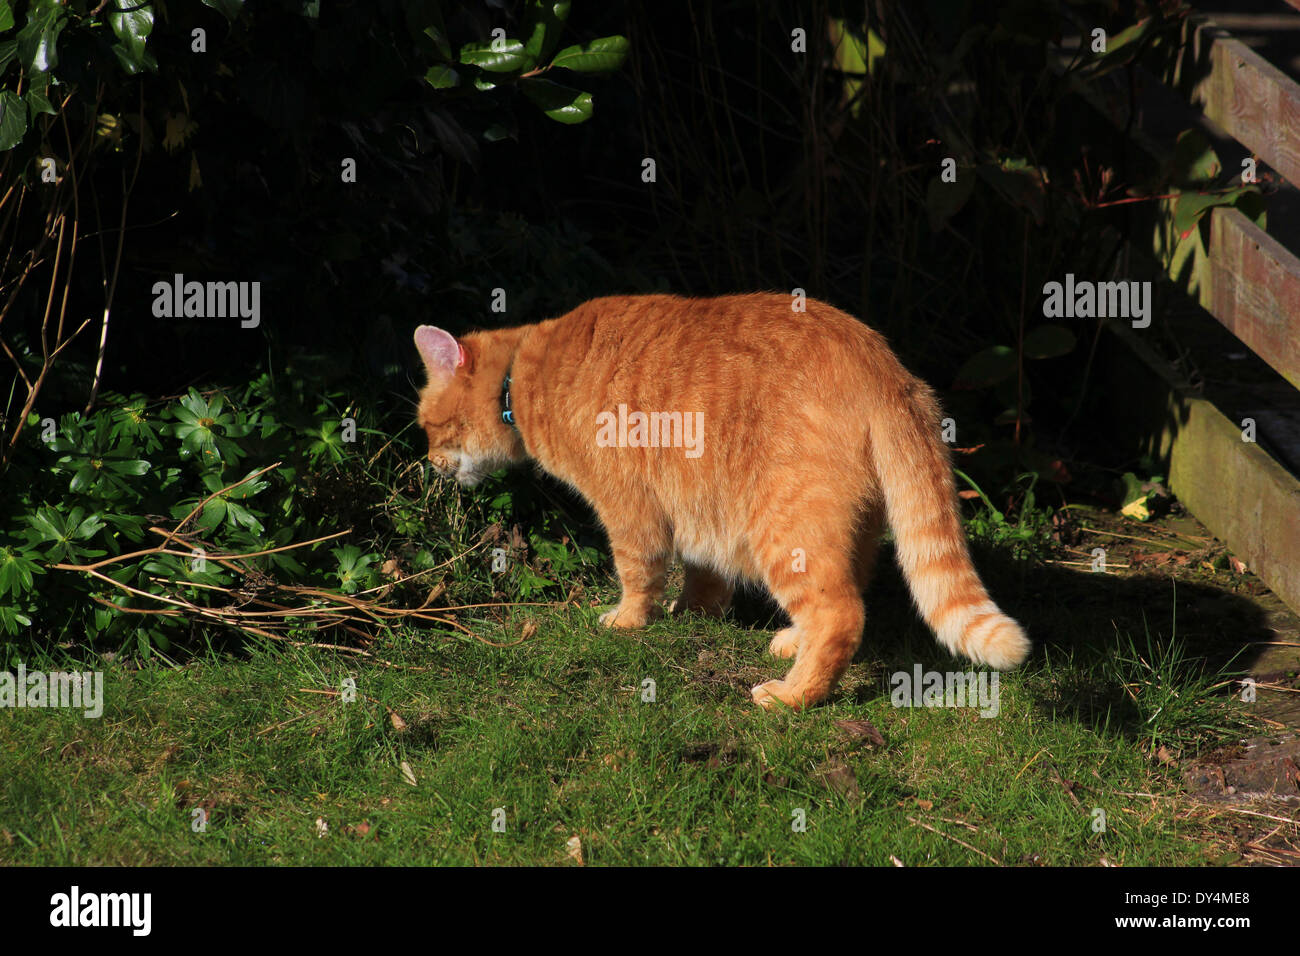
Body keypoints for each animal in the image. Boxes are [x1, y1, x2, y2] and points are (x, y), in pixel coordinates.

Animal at [410, 293, 1029, 712]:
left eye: (429, 427)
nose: (429, 465)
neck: (522, 373)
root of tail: (888, 370)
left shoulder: (628, 507)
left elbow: (638, 573)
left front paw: (629, 620)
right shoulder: (696, 507)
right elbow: (702, 576)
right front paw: (693, 612)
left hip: (783, 527)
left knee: (841, 615)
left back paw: (793, 697)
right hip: (845, 527)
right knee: (842, 592)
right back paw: (792, 645)